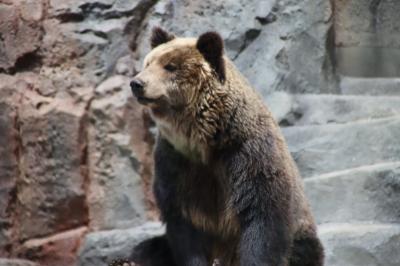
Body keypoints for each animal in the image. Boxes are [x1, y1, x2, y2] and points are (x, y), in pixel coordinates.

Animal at [126, 27, 324, 266]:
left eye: (170, 66)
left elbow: (261, 217)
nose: (137, 83)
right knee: (147, 249)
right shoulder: (175, 162)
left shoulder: (246, 153)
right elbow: (183, 224)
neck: (205, 140)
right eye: (148, 63)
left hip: (302, 234)